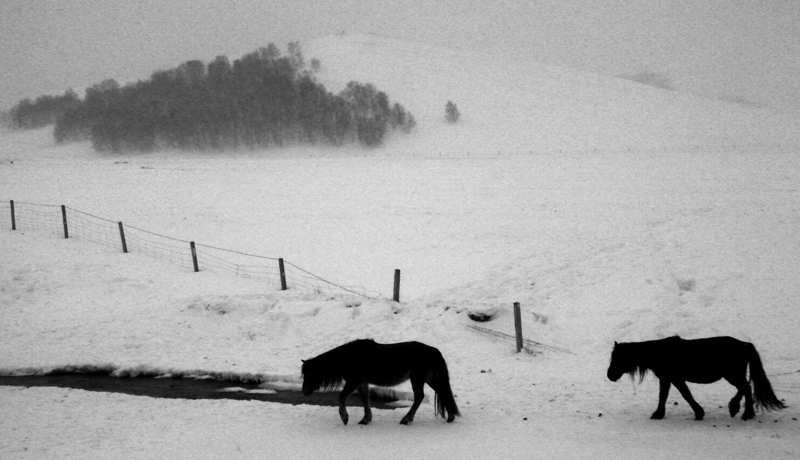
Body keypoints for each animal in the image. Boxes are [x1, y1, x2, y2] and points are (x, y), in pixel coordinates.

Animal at [302, 338, 462, 424]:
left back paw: (406, 419)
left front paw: (345, 417)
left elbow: (341, 396)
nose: (304, 392)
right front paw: (366, 419)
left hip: (417, 378)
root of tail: (433, 350)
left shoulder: (354, 381)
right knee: (443, 392)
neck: (350, 357)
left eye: (308, 374)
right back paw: (451, 416)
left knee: (419, 397)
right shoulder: (362, 383)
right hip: (429, 379)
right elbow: (365, 399)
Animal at [608, 334, 784, 420]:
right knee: (745, 388)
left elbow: (683, 395)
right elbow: (666, 396)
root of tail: (744, 344)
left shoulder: (673, 378)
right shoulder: (669, 379)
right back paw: (737, 409)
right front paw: (660, 413)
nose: (610, 375)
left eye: (617, 358)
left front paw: (698, 413)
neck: (661, 353)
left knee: (746, 388)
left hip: (732, 375)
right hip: (733, 375)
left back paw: (742, 412)